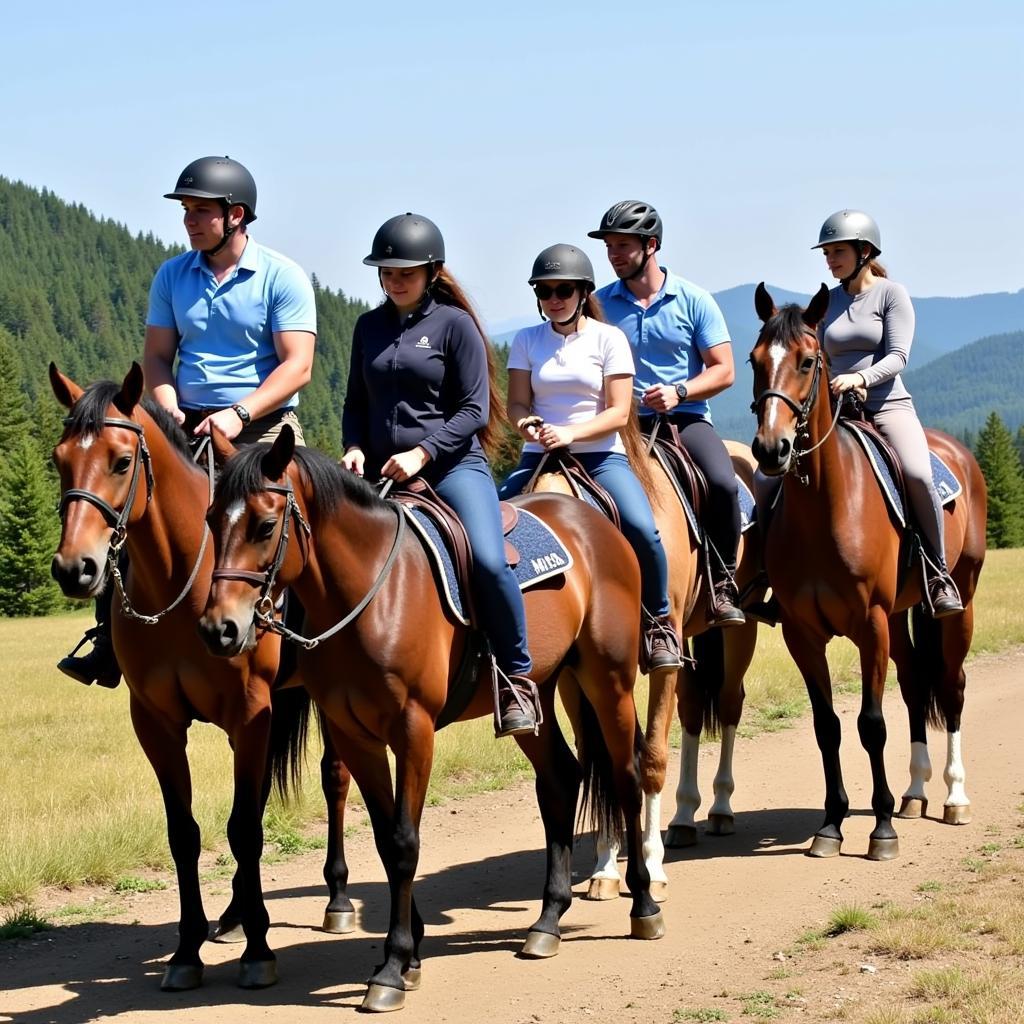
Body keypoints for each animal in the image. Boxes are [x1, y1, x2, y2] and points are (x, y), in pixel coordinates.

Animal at [49, 366, 358, 991]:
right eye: (58, 459)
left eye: (122, 461)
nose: (75, 568)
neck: (180, 583)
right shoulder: (157, 723)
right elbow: (186, 833)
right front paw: (186, 950)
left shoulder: (250, 712)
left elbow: (244, 829)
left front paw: (259, 951)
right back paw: (236, 914)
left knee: (333, 779)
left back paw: (335, 897)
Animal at [198, 425, 663, 1015]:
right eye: (212, 519)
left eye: (263, 525)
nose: (219, 629)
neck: (371, 591)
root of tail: (595, 522)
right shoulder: (355, 735)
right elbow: (384, 838)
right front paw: (410, 952)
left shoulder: (412, 732)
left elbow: (404, 842)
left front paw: (394, 967)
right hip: (538, 692)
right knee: (561, 776)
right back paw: (547, 922)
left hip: (609, 681)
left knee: (625, 779)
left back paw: (644, 906)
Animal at [520, 436, 761, 901]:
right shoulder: (579, 679)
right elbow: (601, 763)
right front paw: (606, 868)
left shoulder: (663, 663)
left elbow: (649, 760)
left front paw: (650, 867)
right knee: (692, 709)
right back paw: (684, 818)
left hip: (741, 625)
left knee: (728, 702)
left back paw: (721, 807)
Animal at [749, 284, 987, 860]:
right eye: (754, 360)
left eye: (807, 361)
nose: (771, 449)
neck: (825, 506)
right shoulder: (802, 633)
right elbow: (828, 726)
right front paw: (831, 824)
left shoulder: (870, 624)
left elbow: (871, 724)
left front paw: (880, 830)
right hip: (901, 617)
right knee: (916, 683)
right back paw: (915, 792)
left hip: (957, 605)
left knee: (951, 687)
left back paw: (954, 797)